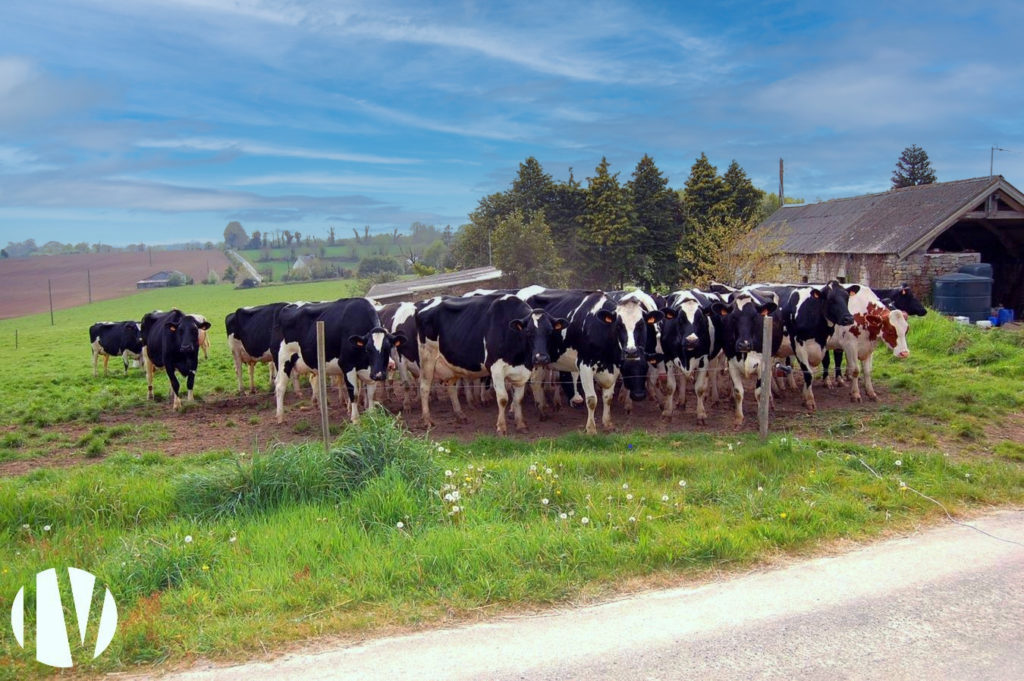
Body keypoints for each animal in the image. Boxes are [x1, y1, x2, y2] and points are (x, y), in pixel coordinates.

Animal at [272, 296, 403, 419]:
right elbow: (354, 393)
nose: (380, 374)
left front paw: (372, 415)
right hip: (283, 359)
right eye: (368, 349)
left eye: (387, 349)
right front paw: (355, 419)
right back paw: (280, 416)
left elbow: (371, 393)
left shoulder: (370, 370)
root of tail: (288, 307)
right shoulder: (347, 364)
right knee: (280, 386)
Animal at [413, 292, 565, 432]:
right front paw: (501, 427)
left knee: (451, 388)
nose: (541, 358)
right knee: (424, 388)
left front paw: (521, 424)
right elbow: (503, 398)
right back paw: (427, 421)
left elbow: (518, 399)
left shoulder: (523, 371)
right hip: (427, 358)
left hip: (452, 363)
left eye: (550, 331)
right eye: (528, 332)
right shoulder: (496, 368)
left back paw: (460, 415)